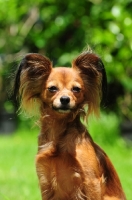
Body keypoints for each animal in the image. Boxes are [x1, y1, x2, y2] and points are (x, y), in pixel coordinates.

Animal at [12, 51, 126, 200]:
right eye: (52, 88)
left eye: (76, 89)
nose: (65, 99)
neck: (59, 131)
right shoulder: (45, 182)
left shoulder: (91, 180)